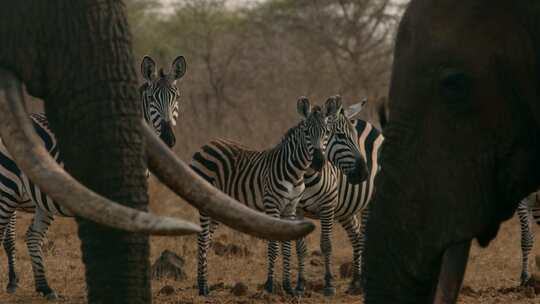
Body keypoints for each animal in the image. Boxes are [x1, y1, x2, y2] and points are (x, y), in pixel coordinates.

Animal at [0, 54, 187, 300]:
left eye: (176, 97)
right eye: (151, 98)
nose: (168, 138)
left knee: (31, 236)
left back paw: (45, 288)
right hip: (6, 188)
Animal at [294, 97, 386, 294]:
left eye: (328, 134)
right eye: (339, 136)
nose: (363, 173)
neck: (307, 176)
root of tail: (362, 121)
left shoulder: (327, 207)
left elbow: (326, 245)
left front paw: (328, 284)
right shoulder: (296, 210)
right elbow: (300, 247)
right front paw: (300, 285)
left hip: (370, 201)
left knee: (364, 236)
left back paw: (363, 283)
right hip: (345, 208)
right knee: (356, 235)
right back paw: (355, 281)